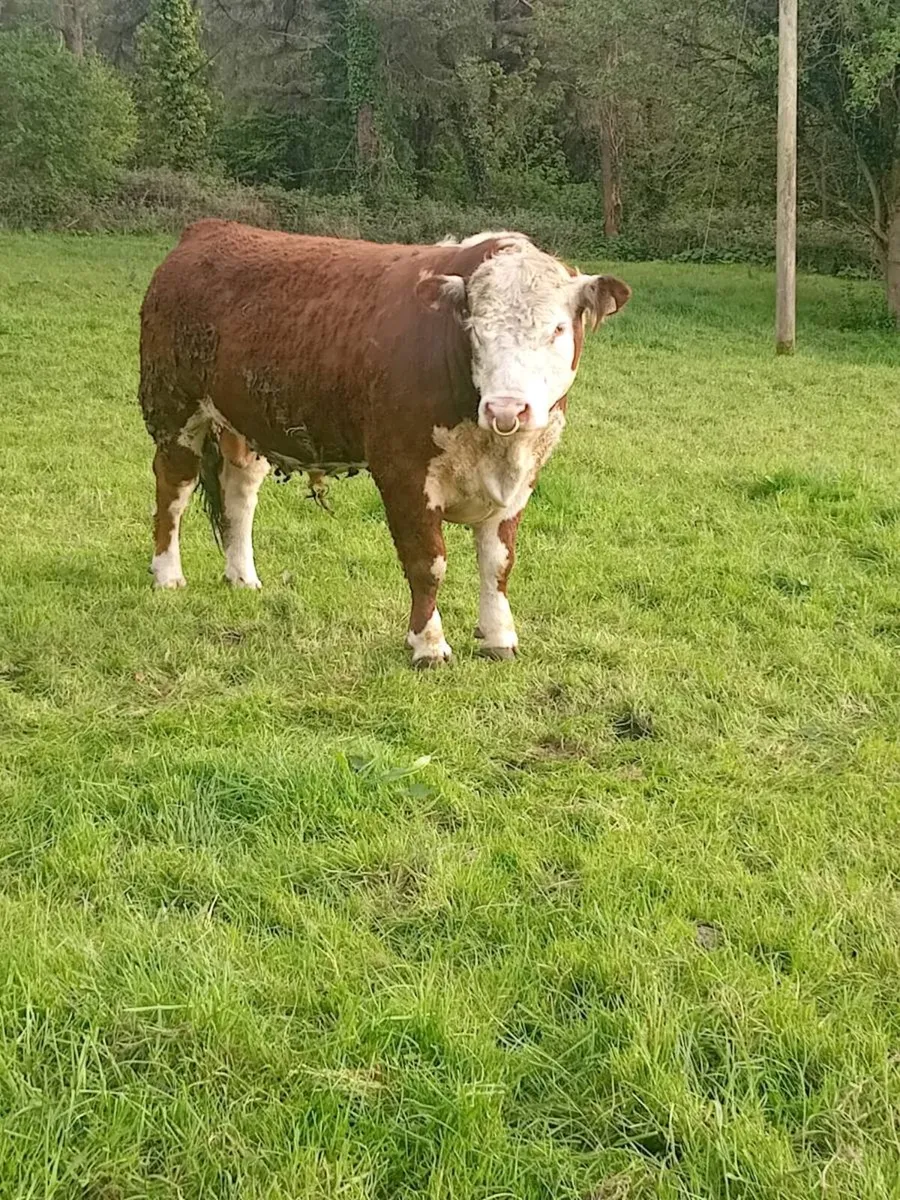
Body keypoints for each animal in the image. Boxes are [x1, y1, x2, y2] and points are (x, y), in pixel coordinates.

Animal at [138, 220, 631, 667]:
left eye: (558, 330)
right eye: (475, 328)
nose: (506, 408)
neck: (492, 444)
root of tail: (209, 229)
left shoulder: (521, 481)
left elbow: (498, 564)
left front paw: (499, 639)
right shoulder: (403, 472)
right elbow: (427, 562)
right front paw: (428, 645)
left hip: (245, 422)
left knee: (239, 494)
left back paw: (242, 577)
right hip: (174, 408)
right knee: (173, 490)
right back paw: (167, 575)